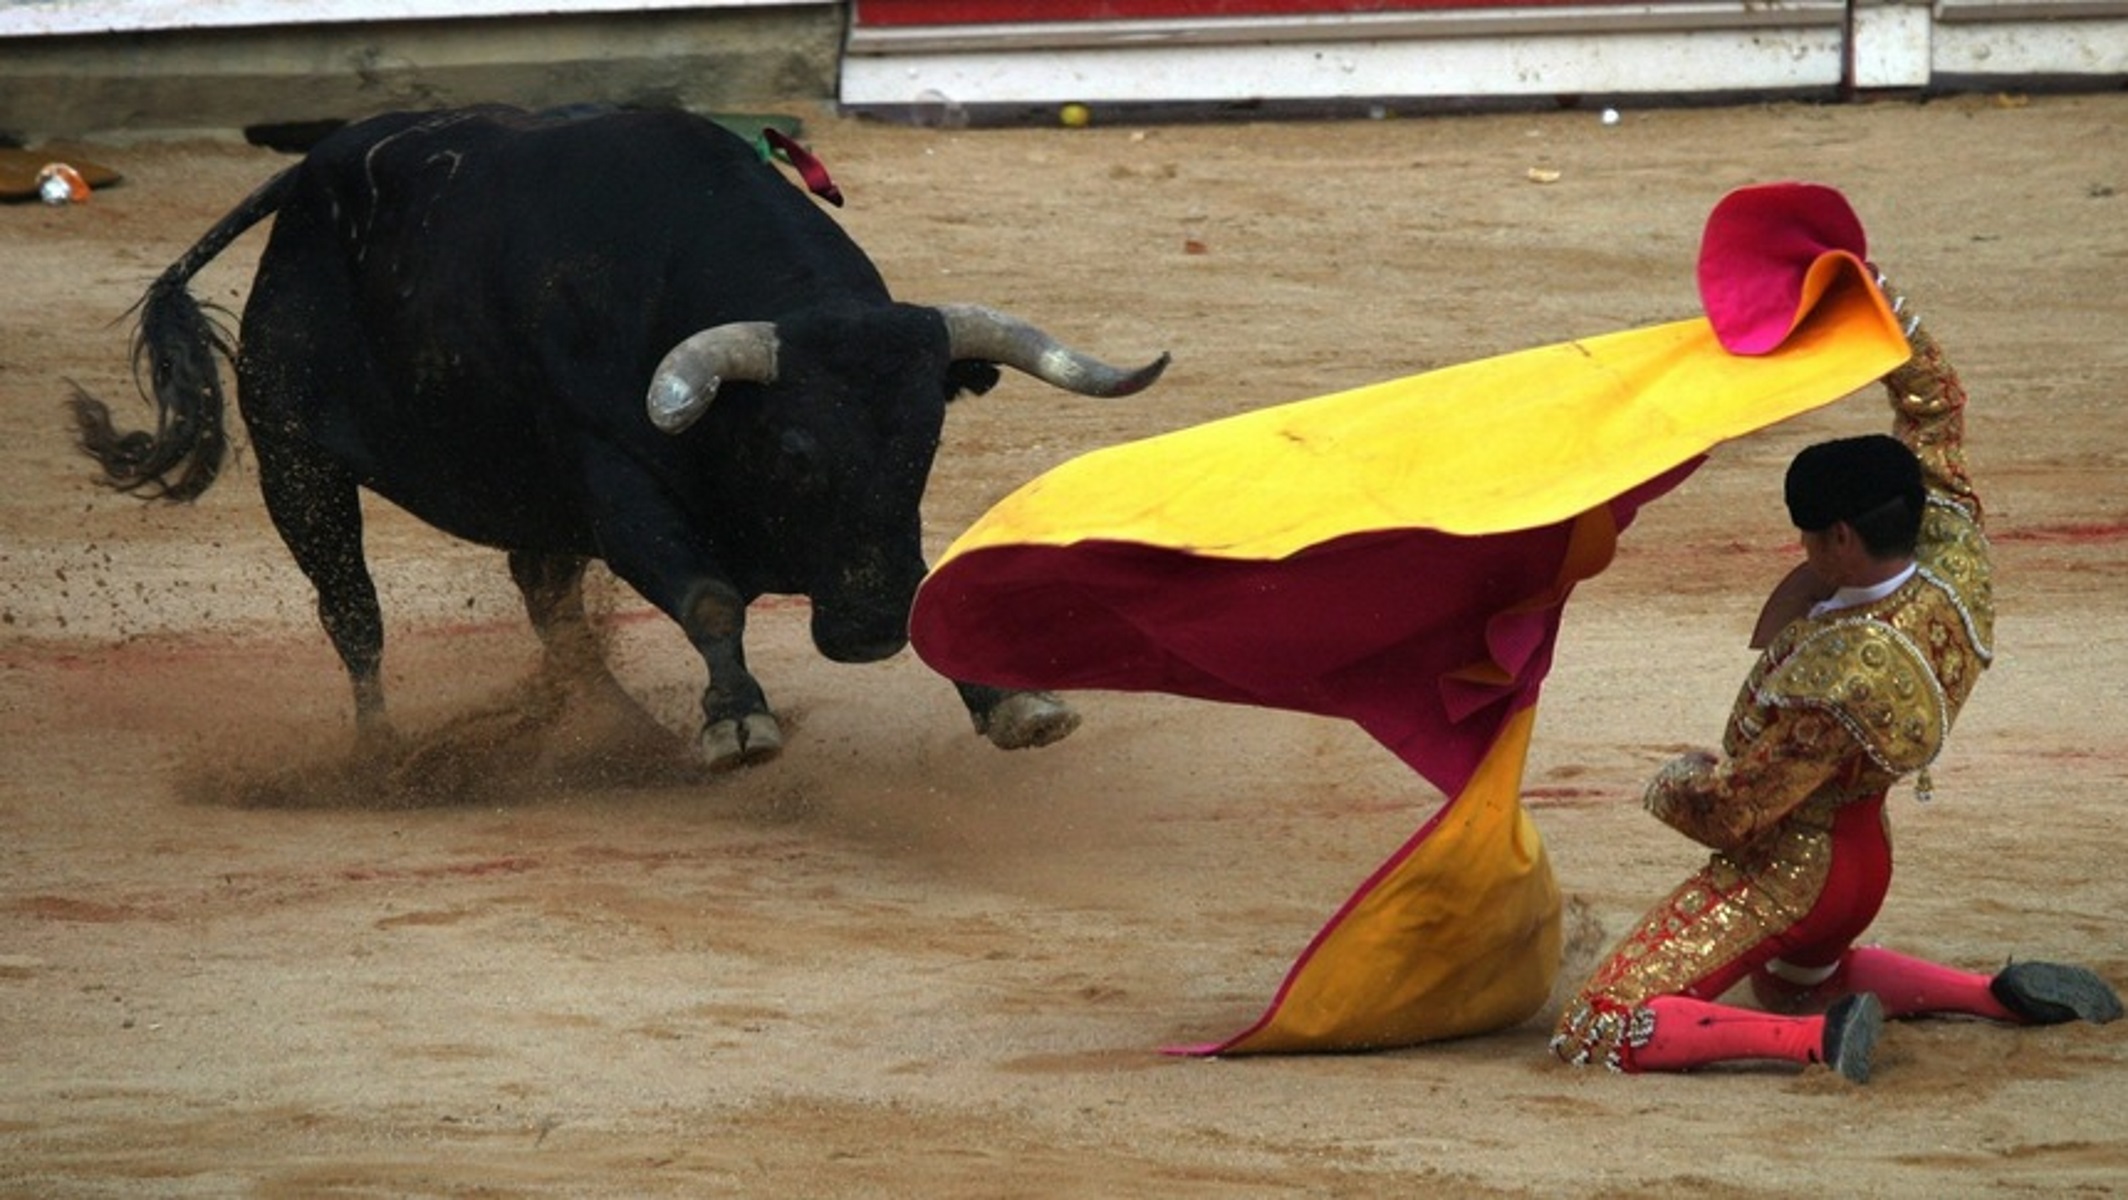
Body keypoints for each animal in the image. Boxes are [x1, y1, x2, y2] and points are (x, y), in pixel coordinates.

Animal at [75, 107, 1166, 774]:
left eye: (927, 440)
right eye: (794, 452)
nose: (865, 630)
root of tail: (307, 174)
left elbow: (924, 581)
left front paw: (1014, 706)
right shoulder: (620, 486)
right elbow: (711, 596)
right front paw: (736, 722)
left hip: (527, 507)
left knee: (553, 618)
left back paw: (618, 730)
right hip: (296, 459)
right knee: (355, 615)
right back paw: (383, 759)